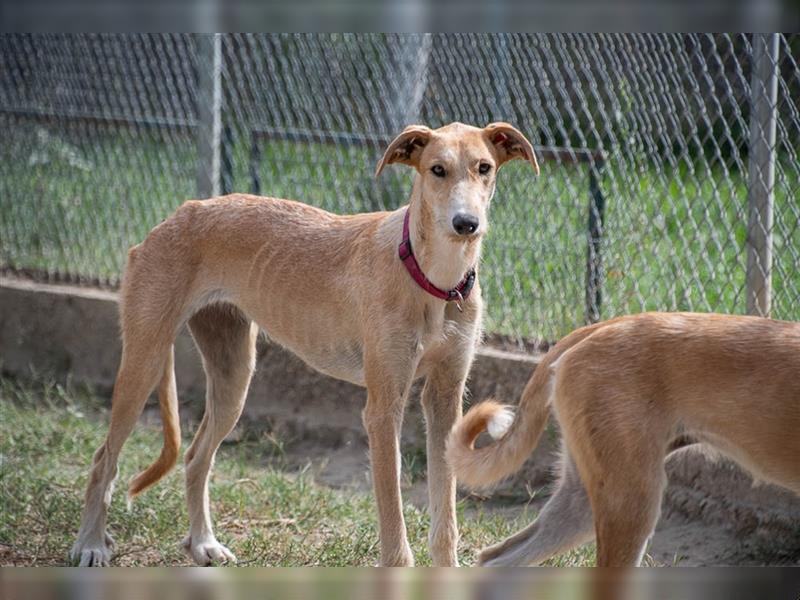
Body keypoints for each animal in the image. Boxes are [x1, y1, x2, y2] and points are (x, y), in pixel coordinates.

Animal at [72, 119, 540, 564]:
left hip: (233, 376)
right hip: (145, 361)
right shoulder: (382, 409)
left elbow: (446, 523)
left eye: (484, 168)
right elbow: (394, 523)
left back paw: (203, 543)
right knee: (103, 460)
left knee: (195, 459)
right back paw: (91, 543)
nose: (466, 224)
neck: (433, 278)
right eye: (437, 170)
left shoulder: (445, 401)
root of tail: (178, 214)